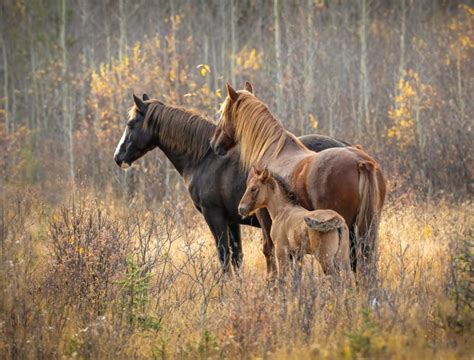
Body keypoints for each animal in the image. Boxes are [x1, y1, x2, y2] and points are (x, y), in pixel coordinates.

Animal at [113, 93, 346, 272]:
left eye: (130, 124)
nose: (118, 157)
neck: (205, 158)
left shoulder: (214, 216)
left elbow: (224, 257)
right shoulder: (232, 220)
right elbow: (237, 258)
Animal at [210, 82, 386, 282]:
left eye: (224, 113)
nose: (214, 144)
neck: (272, 151)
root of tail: (361, 162)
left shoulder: (264, 216)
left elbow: (269, 251)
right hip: (368, 226)